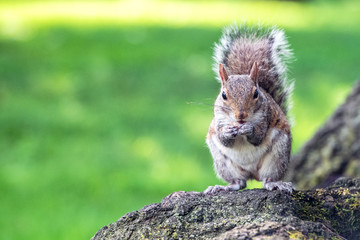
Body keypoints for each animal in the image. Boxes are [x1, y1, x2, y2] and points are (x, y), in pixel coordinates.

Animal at [204, 23, 294, 194]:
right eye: (223, 95)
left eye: (256, 93)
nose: (241, 116)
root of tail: (252, 174)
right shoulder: (219, 120)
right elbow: (224, 139)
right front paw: (228, 132)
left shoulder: (265, 117)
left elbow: (258, 136)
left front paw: (249, 129)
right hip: (223, 163)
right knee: (239, 183)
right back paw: (223, 187)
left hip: (278, 155)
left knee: (267, 178)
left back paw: (275, 184)